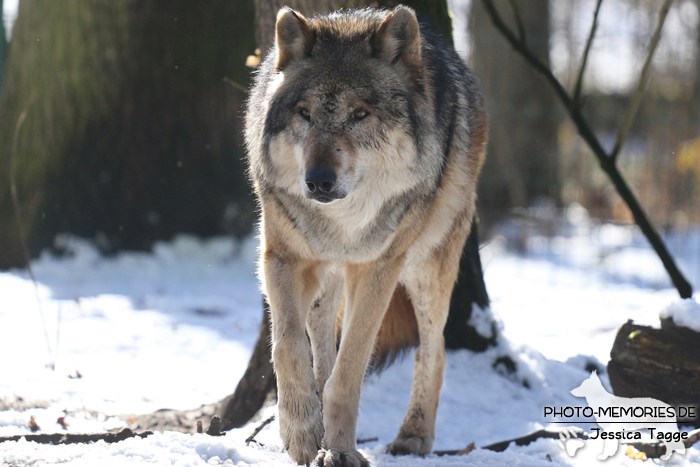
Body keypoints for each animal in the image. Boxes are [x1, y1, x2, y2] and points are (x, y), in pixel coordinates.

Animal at [245, 5, 486, 466]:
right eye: (305, 114)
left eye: (360, 115)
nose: (318, 181)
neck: (341, 222)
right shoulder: (281, 257)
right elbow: (288, 347)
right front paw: (302, 430)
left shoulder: (376, 268)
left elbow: (349, 370)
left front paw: (339, 449)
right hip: (329, 277)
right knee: (321, 336)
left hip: (427, 267)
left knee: (436, 349)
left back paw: (413, 436)